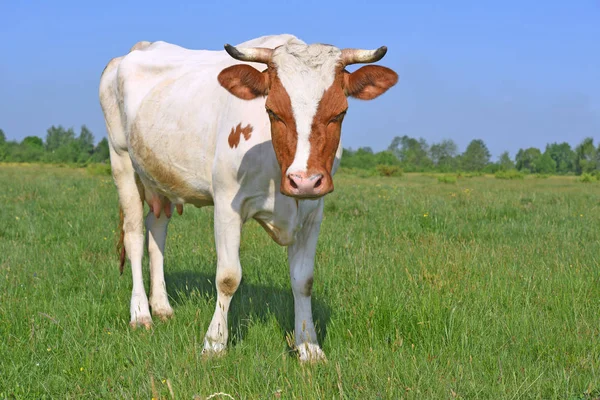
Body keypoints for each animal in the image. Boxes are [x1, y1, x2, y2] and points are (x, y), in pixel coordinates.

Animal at [98, 33, 398, 360]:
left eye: (340, 113)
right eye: (272, 111)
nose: (304, 181)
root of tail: (135, 50)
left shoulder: (313, 212)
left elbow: (303, 281)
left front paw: (309, 348)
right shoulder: (227, 205)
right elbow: (228, 277)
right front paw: (214, 343)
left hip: (161, 179)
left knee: (157, 233)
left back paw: (162, 307)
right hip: (122, 160)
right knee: (135, 236)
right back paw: (141, 313)